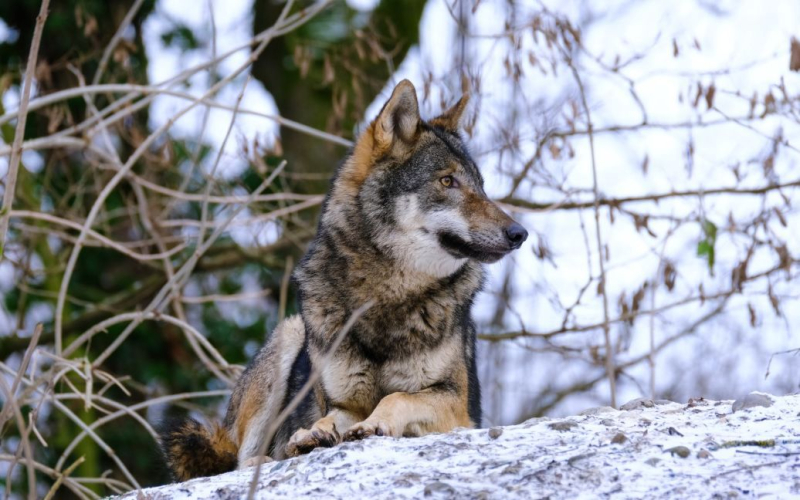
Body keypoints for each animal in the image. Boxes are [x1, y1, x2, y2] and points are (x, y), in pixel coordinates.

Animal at [159, 79, 528, 480]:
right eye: (447, 181)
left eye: (481, 185)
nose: (519, 233)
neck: (386, 297)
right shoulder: (343, 402)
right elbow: (328, 418)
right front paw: (312, 434)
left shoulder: (458, 408)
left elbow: (397, 397)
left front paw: (373, 424)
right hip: (289, 336)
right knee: (240, 460)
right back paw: (270, 458)